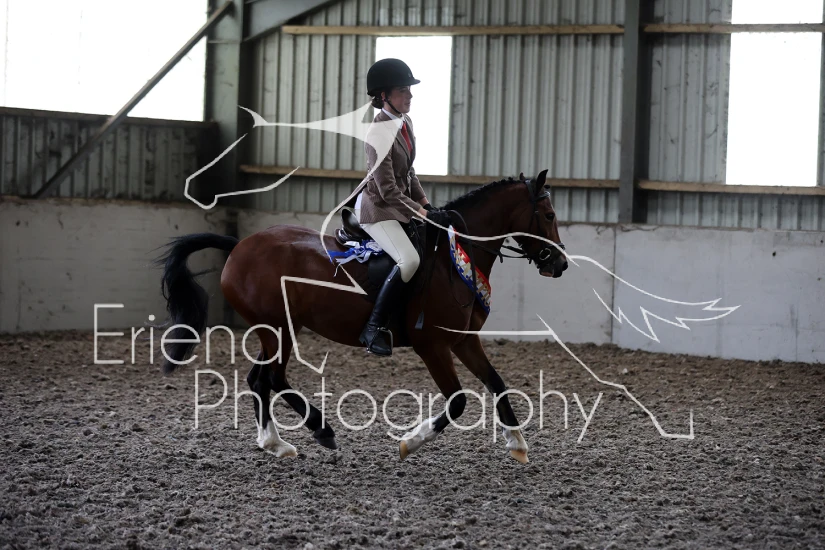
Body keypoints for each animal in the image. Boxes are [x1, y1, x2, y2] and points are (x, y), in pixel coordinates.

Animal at [156, 169, 568, 463]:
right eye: (548, 214)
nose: (561, 264)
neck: (454, 258)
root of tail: (239, 245)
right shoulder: (433, 345)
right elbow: (457, 402)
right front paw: (410, 443)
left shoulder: (463, 340)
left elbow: (497, 382)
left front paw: (517, 443)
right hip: (279, 328)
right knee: (272, 377)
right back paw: (320, 429)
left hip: (277, 329)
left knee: (259, 378)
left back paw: (275, 443)